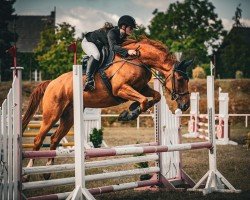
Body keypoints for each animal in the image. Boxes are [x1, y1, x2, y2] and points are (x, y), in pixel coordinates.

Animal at [22, 37, 192, 180]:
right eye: (180, 79)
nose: (185, 105)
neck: (138, 59)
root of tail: (51, 82)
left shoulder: (141, 87)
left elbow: (156, 97)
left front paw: (131, 109)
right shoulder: (121, 89)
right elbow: (143, 100)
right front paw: (129, 114)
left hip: (68, 117)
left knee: (54, 139)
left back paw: (47, 170)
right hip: (52, 115)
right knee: (38, 139)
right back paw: (28, 173)